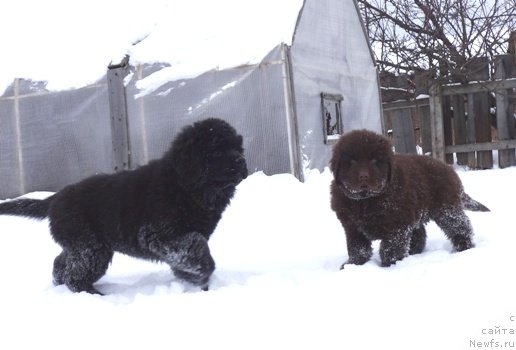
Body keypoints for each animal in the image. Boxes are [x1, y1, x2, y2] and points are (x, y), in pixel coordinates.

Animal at [0, 119, 248, 294]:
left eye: (238, 147)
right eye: (217, 150)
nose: (241, 161)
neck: (185, 186)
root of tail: (57, 197)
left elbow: (188, 251)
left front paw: (192, 278)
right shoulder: (158, 235)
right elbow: (194, 245)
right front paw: (203, 271)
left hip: (79, 244)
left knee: (61, 262)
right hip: (90, 247)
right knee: (75, 274)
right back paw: (94, 296)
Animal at [330, 130, 488, 266]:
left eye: (375, 160)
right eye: (351, 161)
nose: (363, 176)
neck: (366, 201)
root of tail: (447, 167)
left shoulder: (397, 225)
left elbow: (389, 247)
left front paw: (390, 264)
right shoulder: (352, 227)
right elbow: (357, 247)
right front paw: (353, 264)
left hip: (446, 208)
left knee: (460, 226)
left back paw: (464, 247)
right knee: (420, 234)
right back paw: (414, 253)